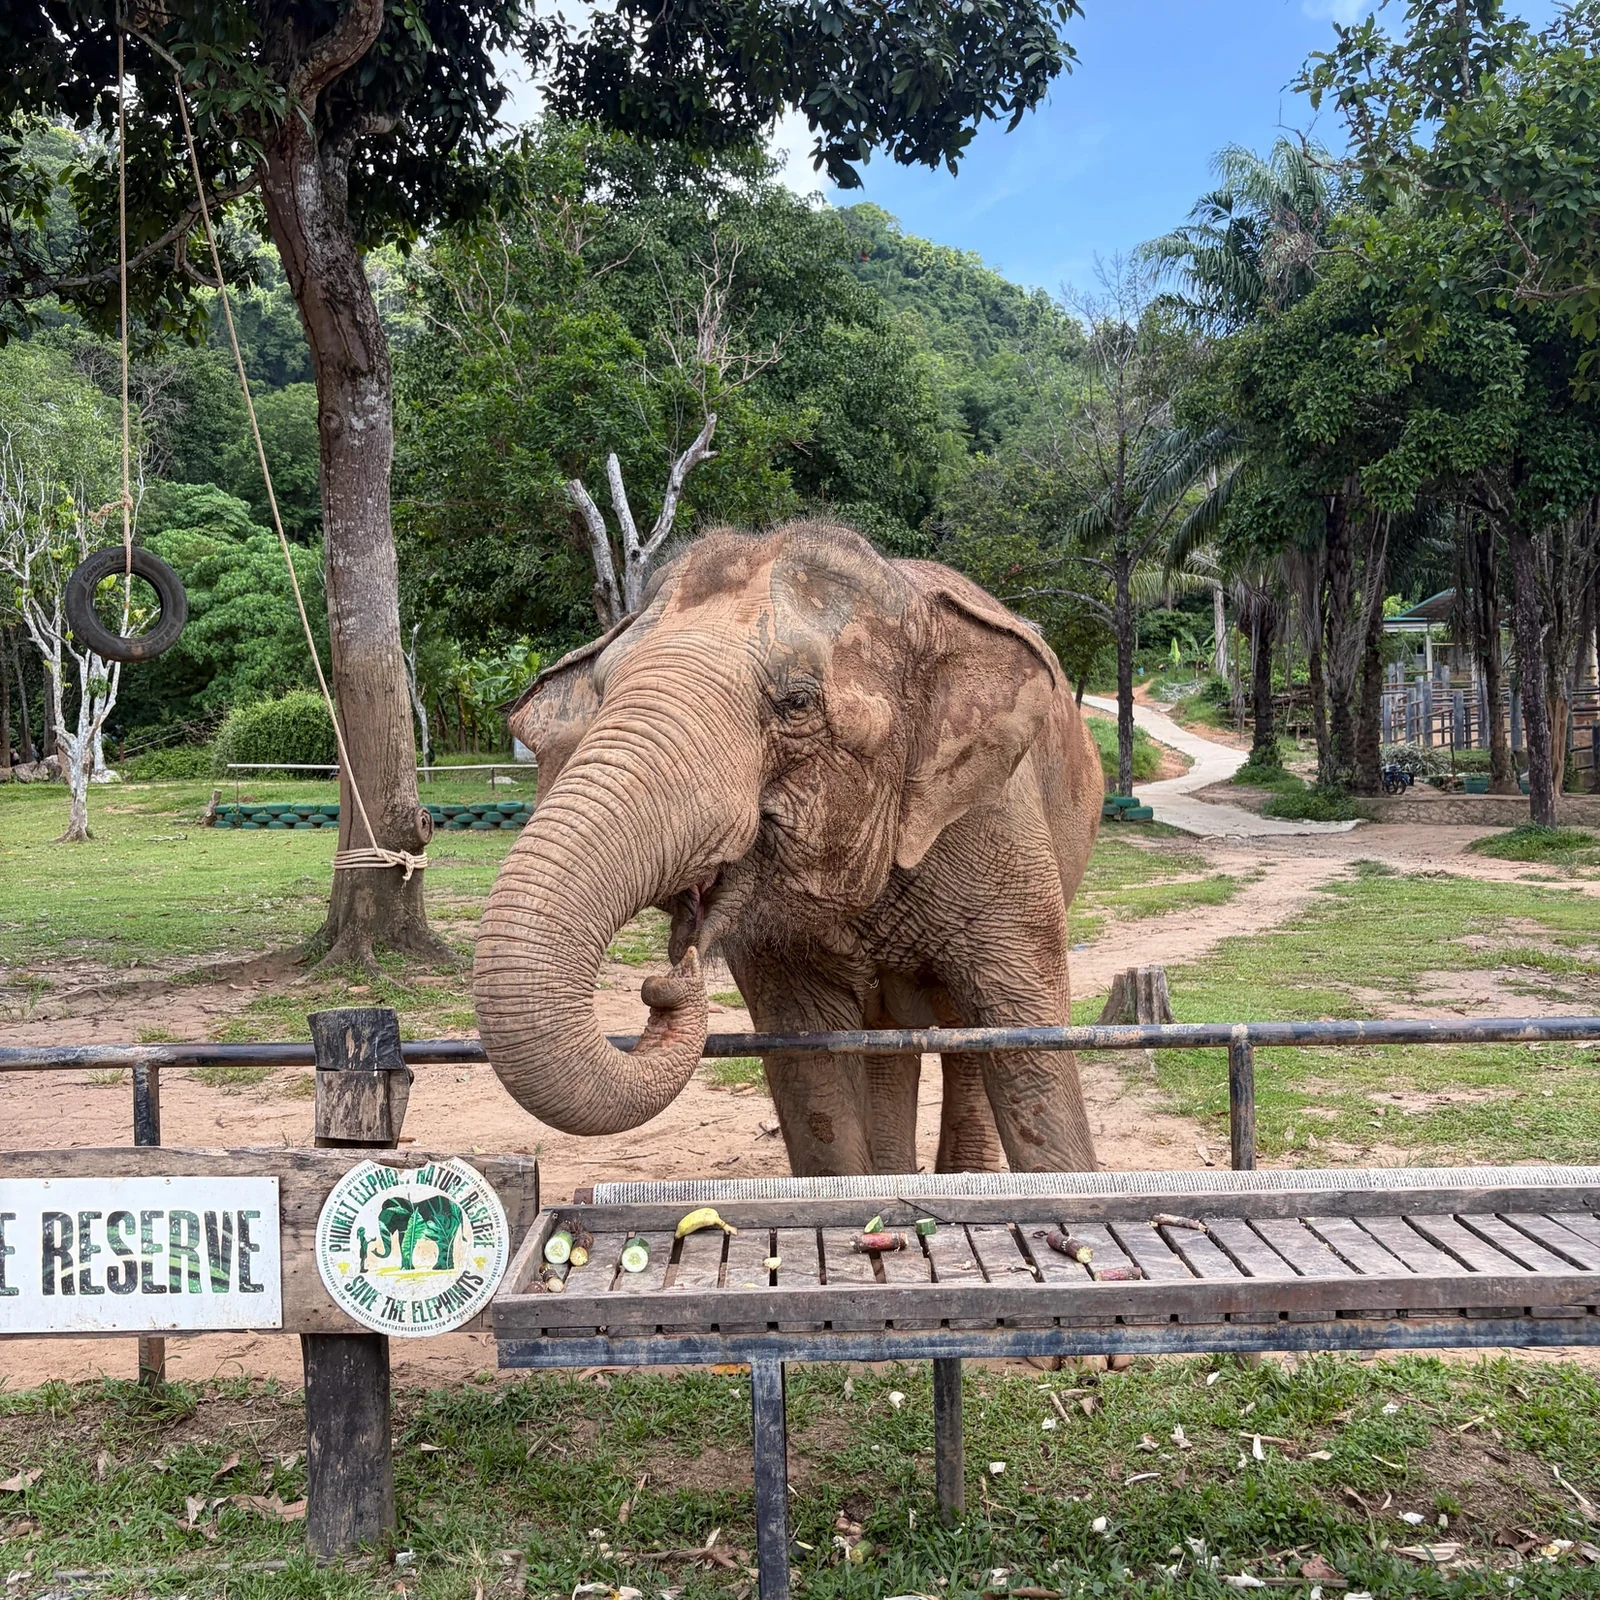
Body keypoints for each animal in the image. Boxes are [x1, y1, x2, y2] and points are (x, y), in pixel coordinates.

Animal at [474, 519, 1103, 1176]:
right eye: (601, 694)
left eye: (797, 702)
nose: (665, 985)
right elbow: (810, 1073)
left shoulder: (998, 829)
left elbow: (1027, 1046)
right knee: (887, 1045)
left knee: (961, 1039)